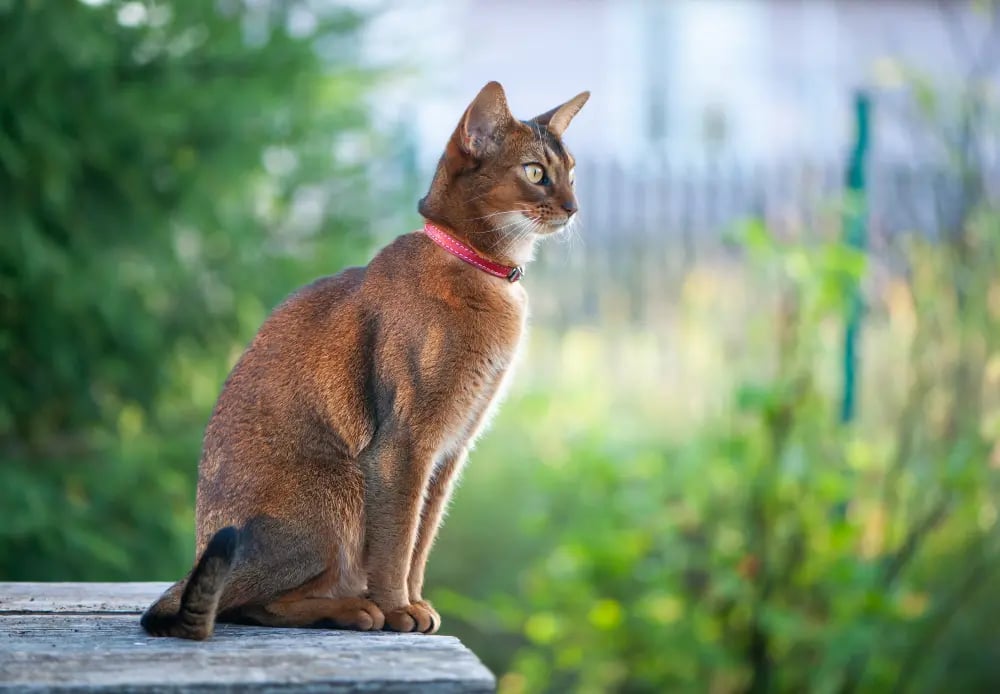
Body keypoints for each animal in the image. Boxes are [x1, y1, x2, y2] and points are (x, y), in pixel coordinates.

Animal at [137, 81, 584, 640]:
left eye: (571, 172)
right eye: (535, 172)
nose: (573, 206)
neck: (476, 266)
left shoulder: (449, 452)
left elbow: (421, 538)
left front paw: (416, 602)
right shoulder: (404, 444)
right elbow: (395, 541)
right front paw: (397, 609)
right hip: (338, 485)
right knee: (250, 603)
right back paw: (357, 610)